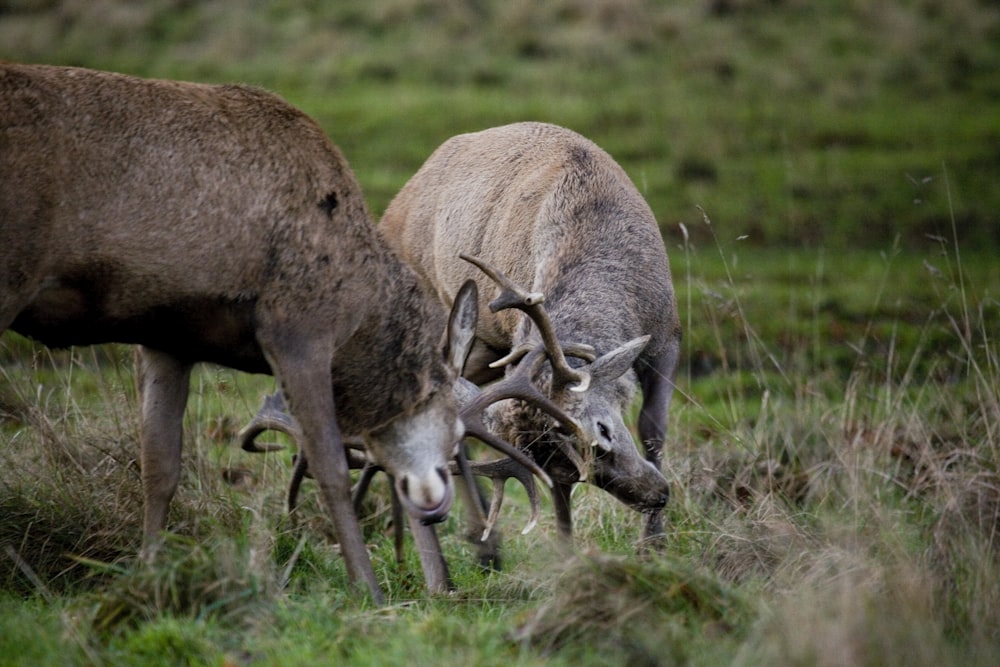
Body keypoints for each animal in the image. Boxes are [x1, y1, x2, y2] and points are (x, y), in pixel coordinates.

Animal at [0, 64, 548, 604]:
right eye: (455, 426)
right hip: (12, 277)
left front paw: (148, 579)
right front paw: (368, 589)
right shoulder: (299, 330)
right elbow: (328, 465)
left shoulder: (165, 339)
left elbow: (159, 465)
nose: (438, 505)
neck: (361, 313)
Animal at [378, 122, 684, 552]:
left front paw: (653, 543)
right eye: (570, 471)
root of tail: (389, 215)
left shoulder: (667, 333)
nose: (657, 495)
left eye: (603, 432)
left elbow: (653, 428)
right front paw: (569, 550)